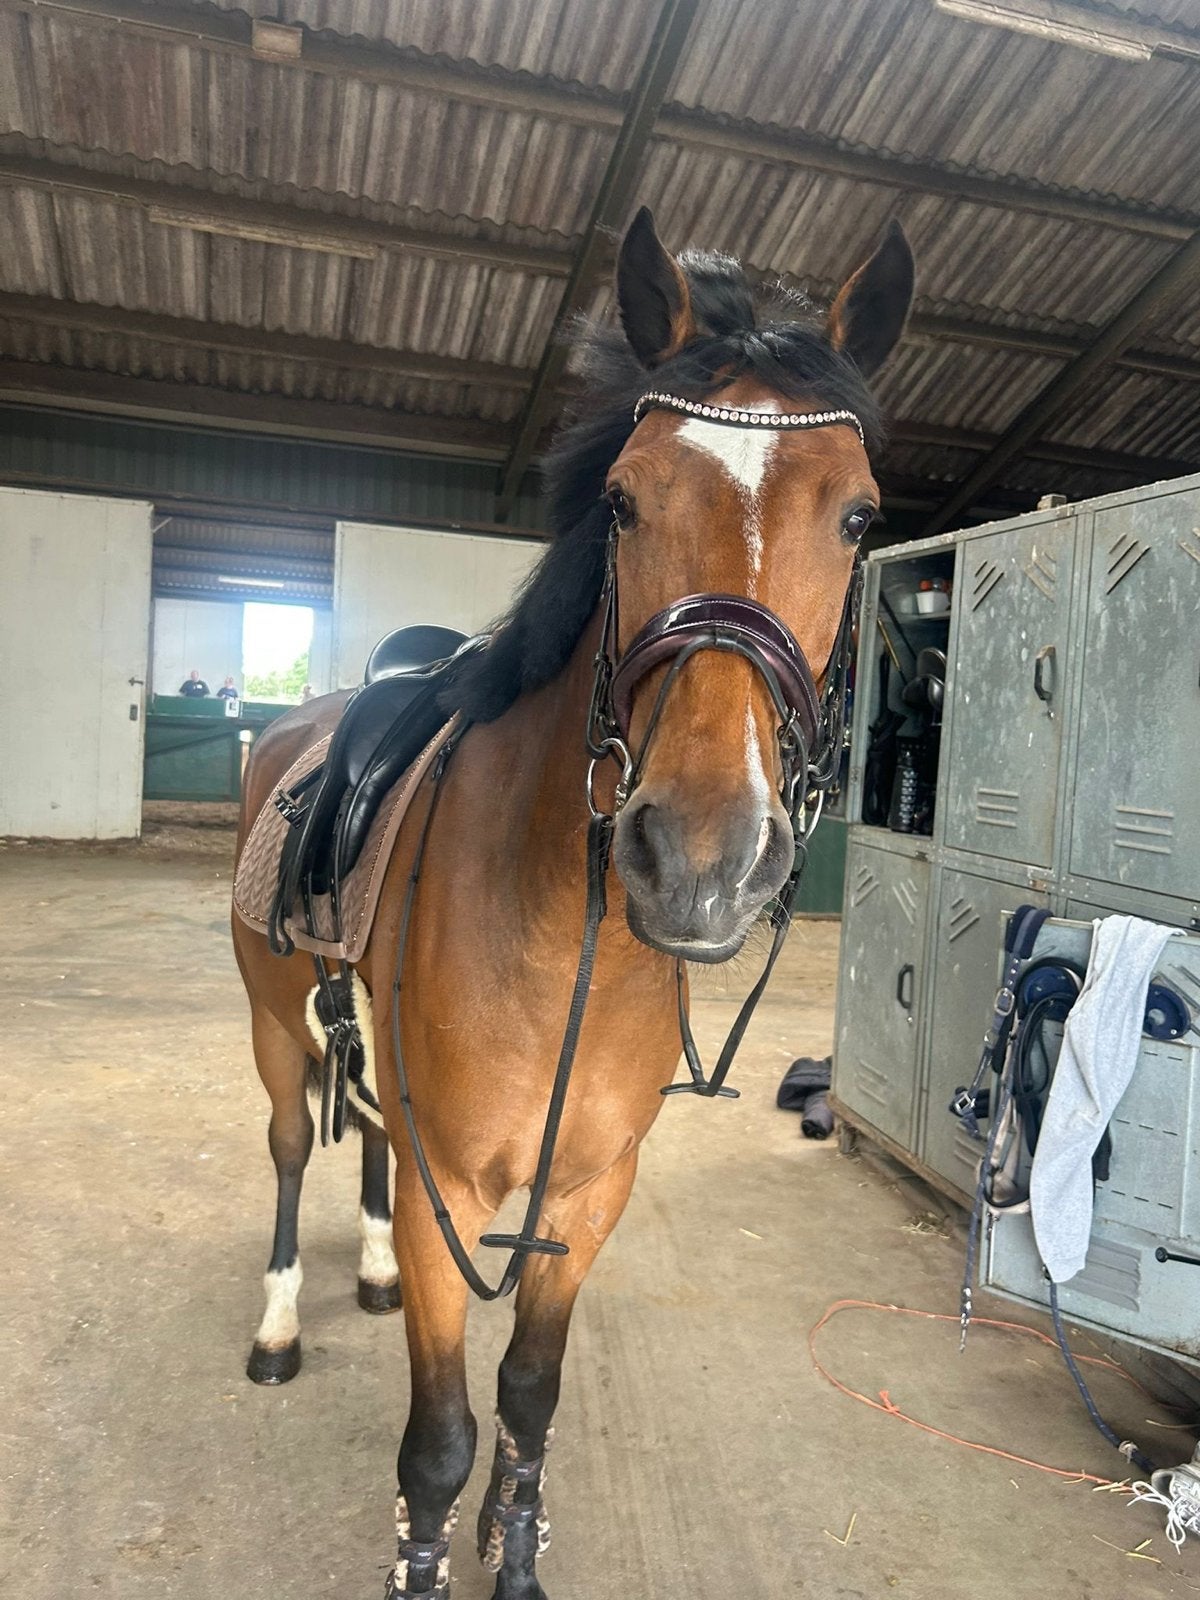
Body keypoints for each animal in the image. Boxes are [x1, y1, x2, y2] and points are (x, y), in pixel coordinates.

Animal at [231, 205, 914, 1600]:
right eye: (620, 499)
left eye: (860, 518)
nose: (701, 858)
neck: (556, 943)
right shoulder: (452, 1194)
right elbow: (439, 1440)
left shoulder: (590, 1194)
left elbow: (529, 1401)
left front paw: (517, 1554)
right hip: (276, 1035)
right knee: (285, 1152)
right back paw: (276, 1327)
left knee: (362, 1135)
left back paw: (368, 1270)